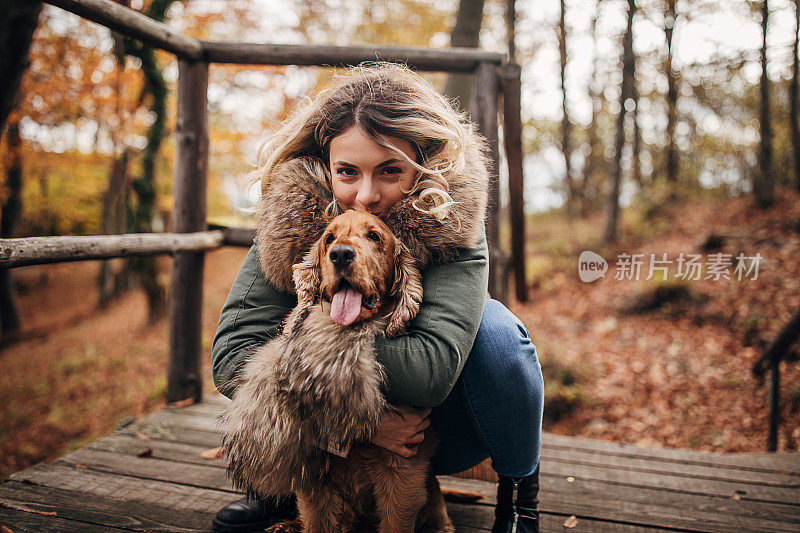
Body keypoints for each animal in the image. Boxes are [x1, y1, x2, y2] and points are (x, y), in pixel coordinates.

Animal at [222, 210, 456, 532]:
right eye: (329, 238)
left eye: (374, 236)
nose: (341, 254)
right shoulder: (314, 479)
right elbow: (316, 522)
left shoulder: (402, 476)